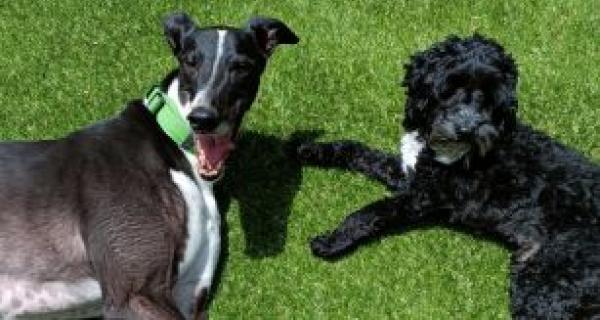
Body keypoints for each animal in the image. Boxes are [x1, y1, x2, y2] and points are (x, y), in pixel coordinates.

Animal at [296, 33, 600, 318]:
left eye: (489, 95)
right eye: (451, 87)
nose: (467, 130)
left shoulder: (422, 196)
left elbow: (370, 212)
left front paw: (333, 240)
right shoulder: (409, 173)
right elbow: (359, 152)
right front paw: (313, 150)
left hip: (549, 276)